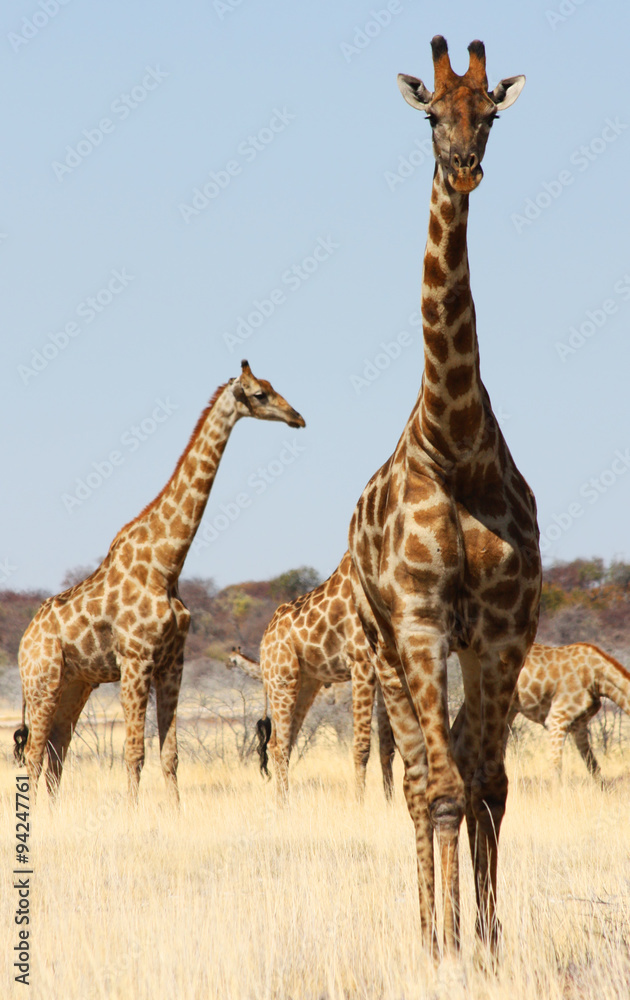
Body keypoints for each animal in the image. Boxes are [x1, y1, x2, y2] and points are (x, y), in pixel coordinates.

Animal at [14, 361, 305, 804]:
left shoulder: (172, 663)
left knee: (56, 748)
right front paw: (134, 814)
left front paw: (174, 811)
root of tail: (24, 641)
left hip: (75, 684)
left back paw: (53, 810)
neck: (166, 566)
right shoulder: (135, 661)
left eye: (273, 386)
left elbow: (171, 755)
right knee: (32, 752)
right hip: (41, 679)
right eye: (260, 394)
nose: (298, 417)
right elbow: (134, 751)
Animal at [241, 551, 396, 801]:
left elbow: (388, 746)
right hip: (281, 680)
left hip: (305, 684)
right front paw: (360, 804)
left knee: (284, 743)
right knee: (278, 745)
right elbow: (362, 745)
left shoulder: (386, 664)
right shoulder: (361, 661)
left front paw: (390, 803)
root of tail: (264, 641)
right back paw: (284, 804)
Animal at [507, 641, 630, 778]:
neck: (596, 678)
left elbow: (593, 766)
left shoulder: (579, 725)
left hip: (510, 712)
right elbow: (556, 767)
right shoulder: (557, 717)